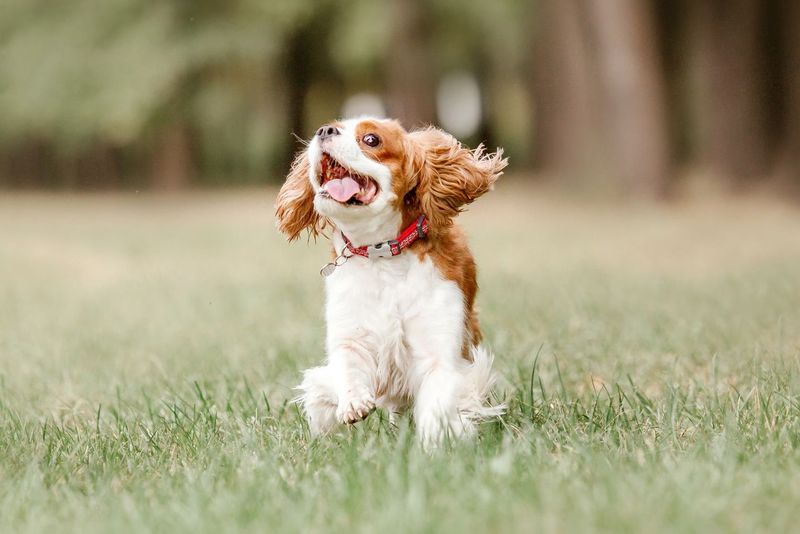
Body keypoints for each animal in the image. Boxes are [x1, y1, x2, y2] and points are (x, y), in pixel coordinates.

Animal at [276, 118, 506, 448]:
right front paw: (353, 403)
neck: (381, 254)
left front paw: (434, 443)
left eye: (371, 139)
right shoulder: (351, 331)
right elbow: (347, 365)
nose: (324, 131)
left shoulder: (439, 345)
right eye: (332, 126)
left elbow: (438, 401)